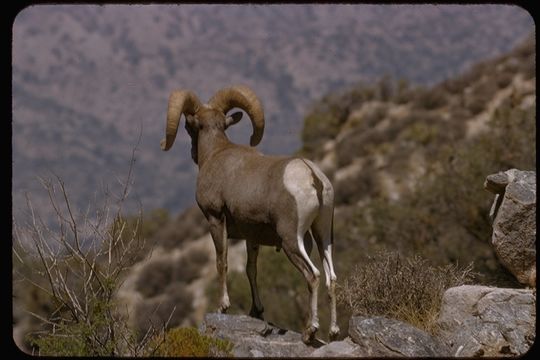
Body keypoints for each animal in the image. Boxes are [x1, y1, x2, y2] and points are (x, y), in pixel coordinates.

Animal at [158, 85, 340, 344]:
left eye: (187, 126)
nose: (192, 153)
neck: (216, 154)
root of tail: (312, 176)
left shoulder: (215, 219)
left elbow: (221, 262)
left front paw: (223, 306)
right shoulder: (251, 237)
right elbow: (250, 271)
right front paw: (257, 312)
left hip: (292, 241)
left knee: (313, 275)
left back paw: (309, 331)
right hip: (322, 235)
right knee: (330, 277)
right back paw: (333, 332)